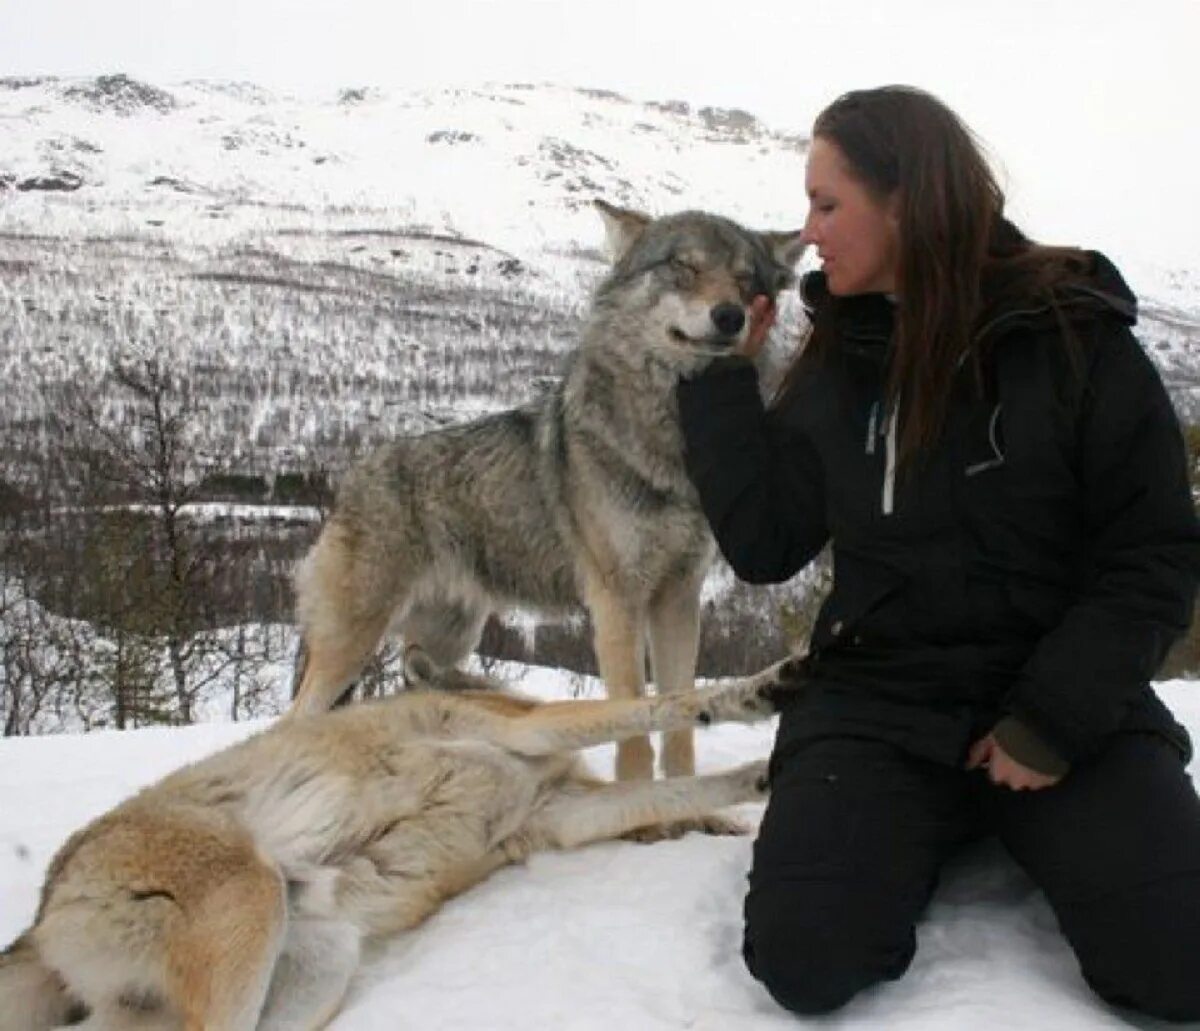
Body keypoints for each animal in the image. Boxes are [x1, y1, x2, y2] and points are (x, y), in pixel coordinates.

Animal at [2, 657, 806, 1027]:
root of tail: (41, 918)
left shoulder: (557, 816)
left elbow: (694, 788)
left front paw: (765, 774)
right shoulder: (529, 728)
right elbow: (656, 703)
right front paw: (757, 690)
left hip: (316, 970)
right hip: (253, 905)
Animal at [290, 201, 806, 782]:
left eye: (747, 282)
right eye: (684, 267)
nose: (730, 316)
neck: (671, 442)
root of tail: (353, 474)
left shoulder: (679, 596)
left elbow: (679, 727)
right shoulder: (616, 601)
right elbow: (633, 724)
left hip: (442, 644)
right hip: (350, 644)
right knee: (297, 716)